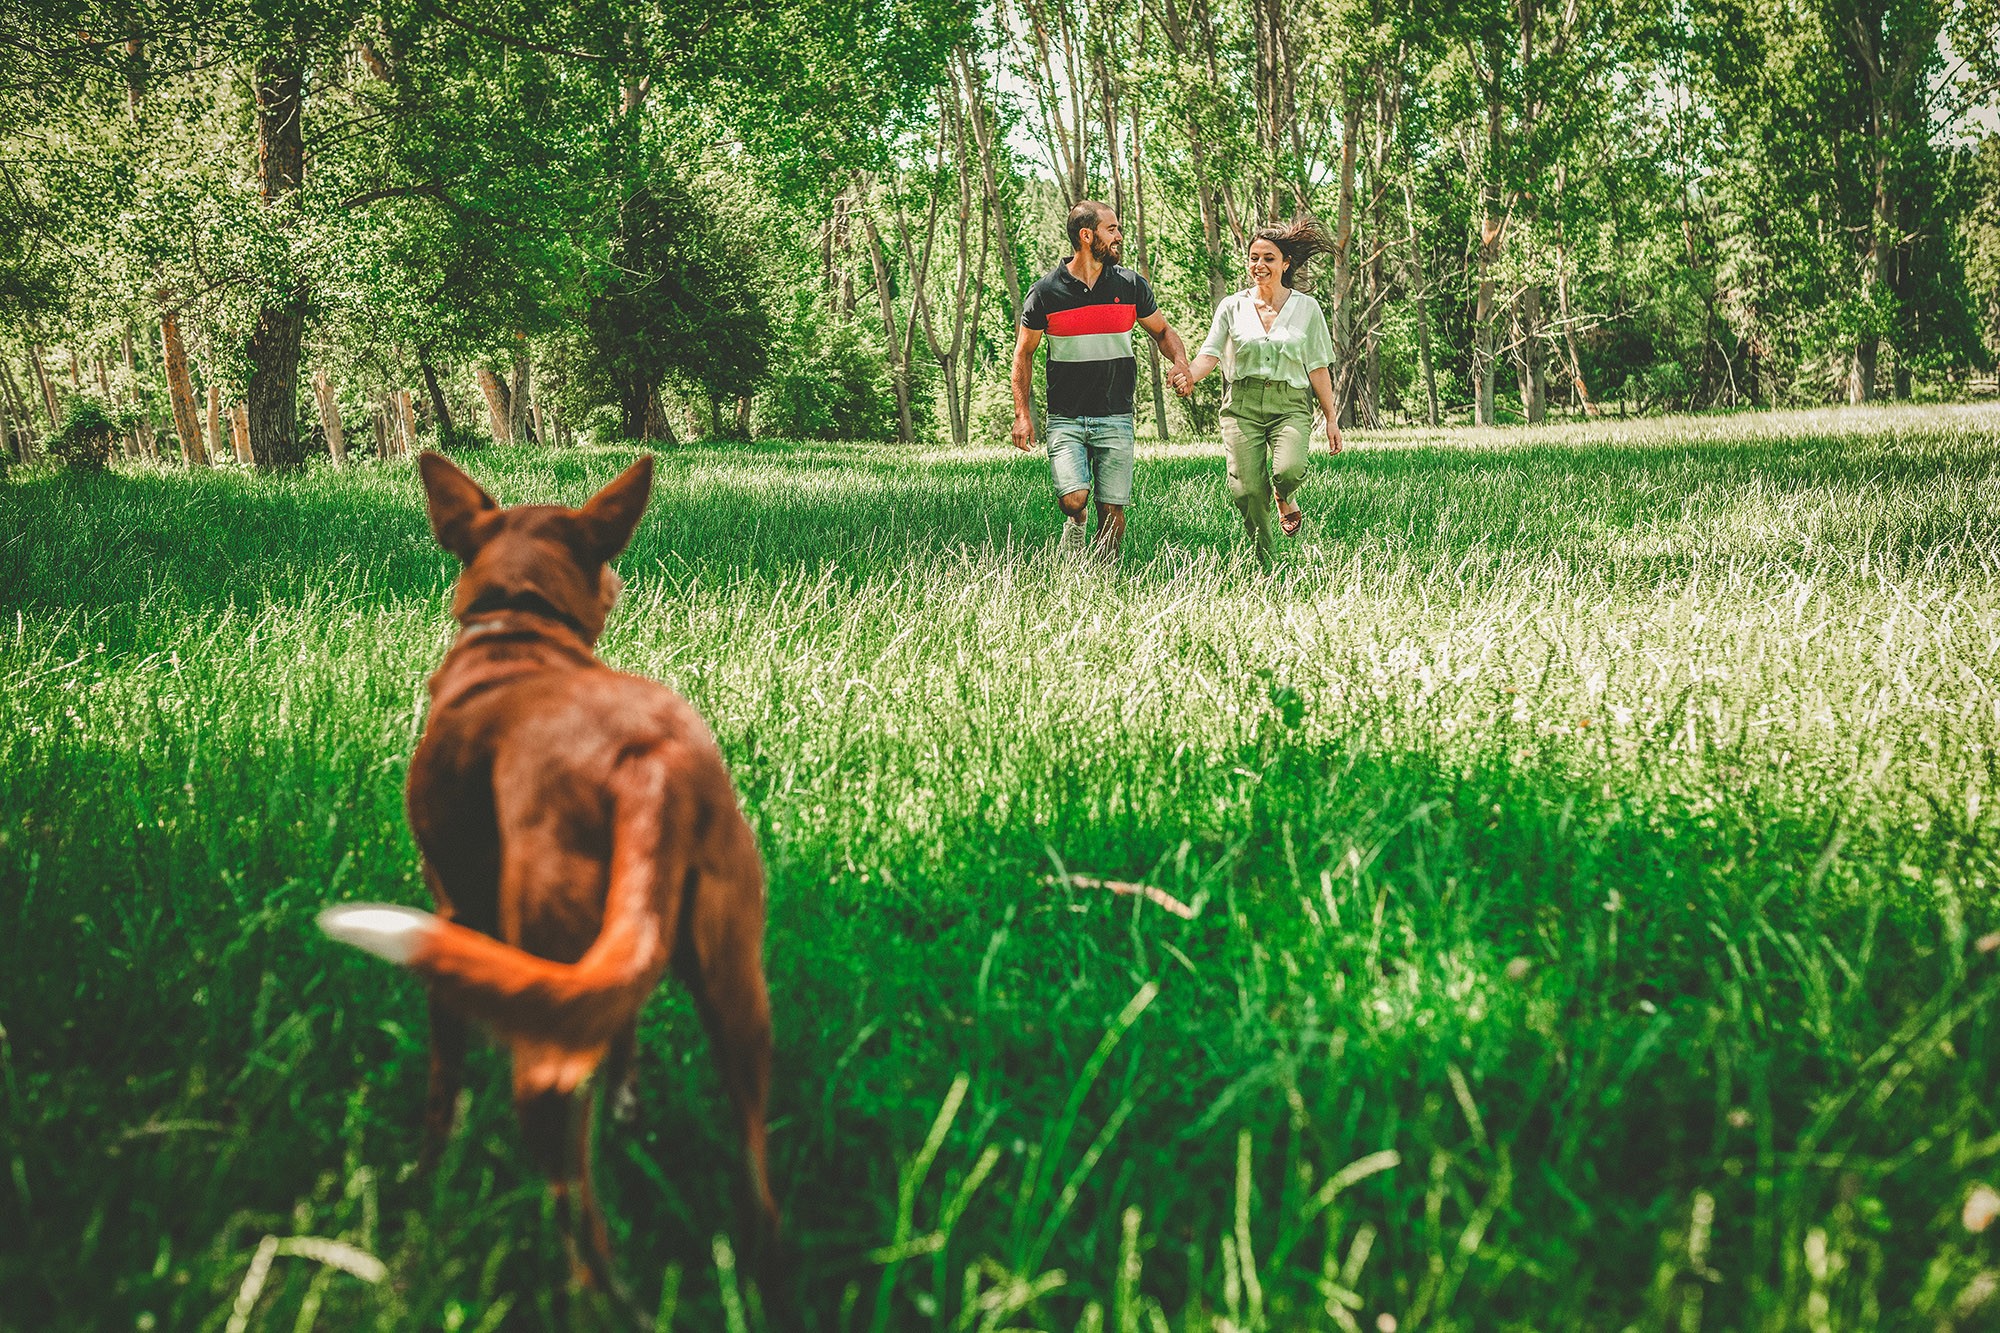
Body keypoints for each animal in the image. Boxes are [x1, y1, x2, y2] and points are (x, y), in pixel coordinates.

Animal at [320, 452, 772, 1304]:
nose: (623, 581)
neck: (518, 627)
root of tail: (645, 764)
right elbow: (622, 1032)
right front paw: (629, 1107)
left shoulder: (454, 913)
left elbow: (442, 1086)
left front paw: (425, 1181)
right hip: (735, 988)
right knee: (759, 1181)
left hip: (538, 987)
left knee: (576, 1205)